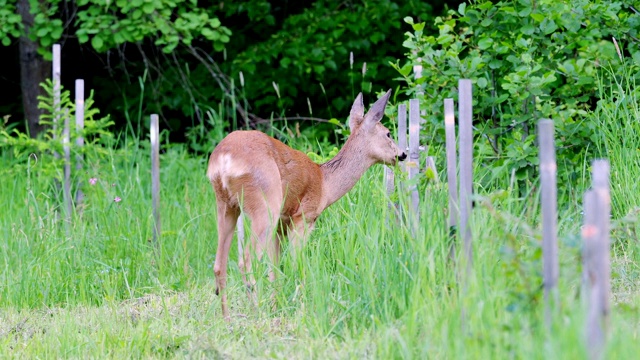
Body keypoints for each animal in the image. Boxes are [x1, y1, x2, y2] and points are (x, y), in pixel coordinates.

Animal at [208, 89, 408, 318]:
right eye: (388, 134)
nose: (402, 154)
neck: (325, 184)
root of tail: (224, 159)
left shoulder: (282, 224)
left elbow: (275, 267)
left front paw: (277, 307)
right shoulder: (304, 217)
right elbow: (297, 264)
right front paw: (299, 308)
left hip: (226, 205)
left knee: (220, 264)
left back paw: (227, 316)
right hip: (265, 203)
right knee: (246, 259)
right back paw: (256, 311)